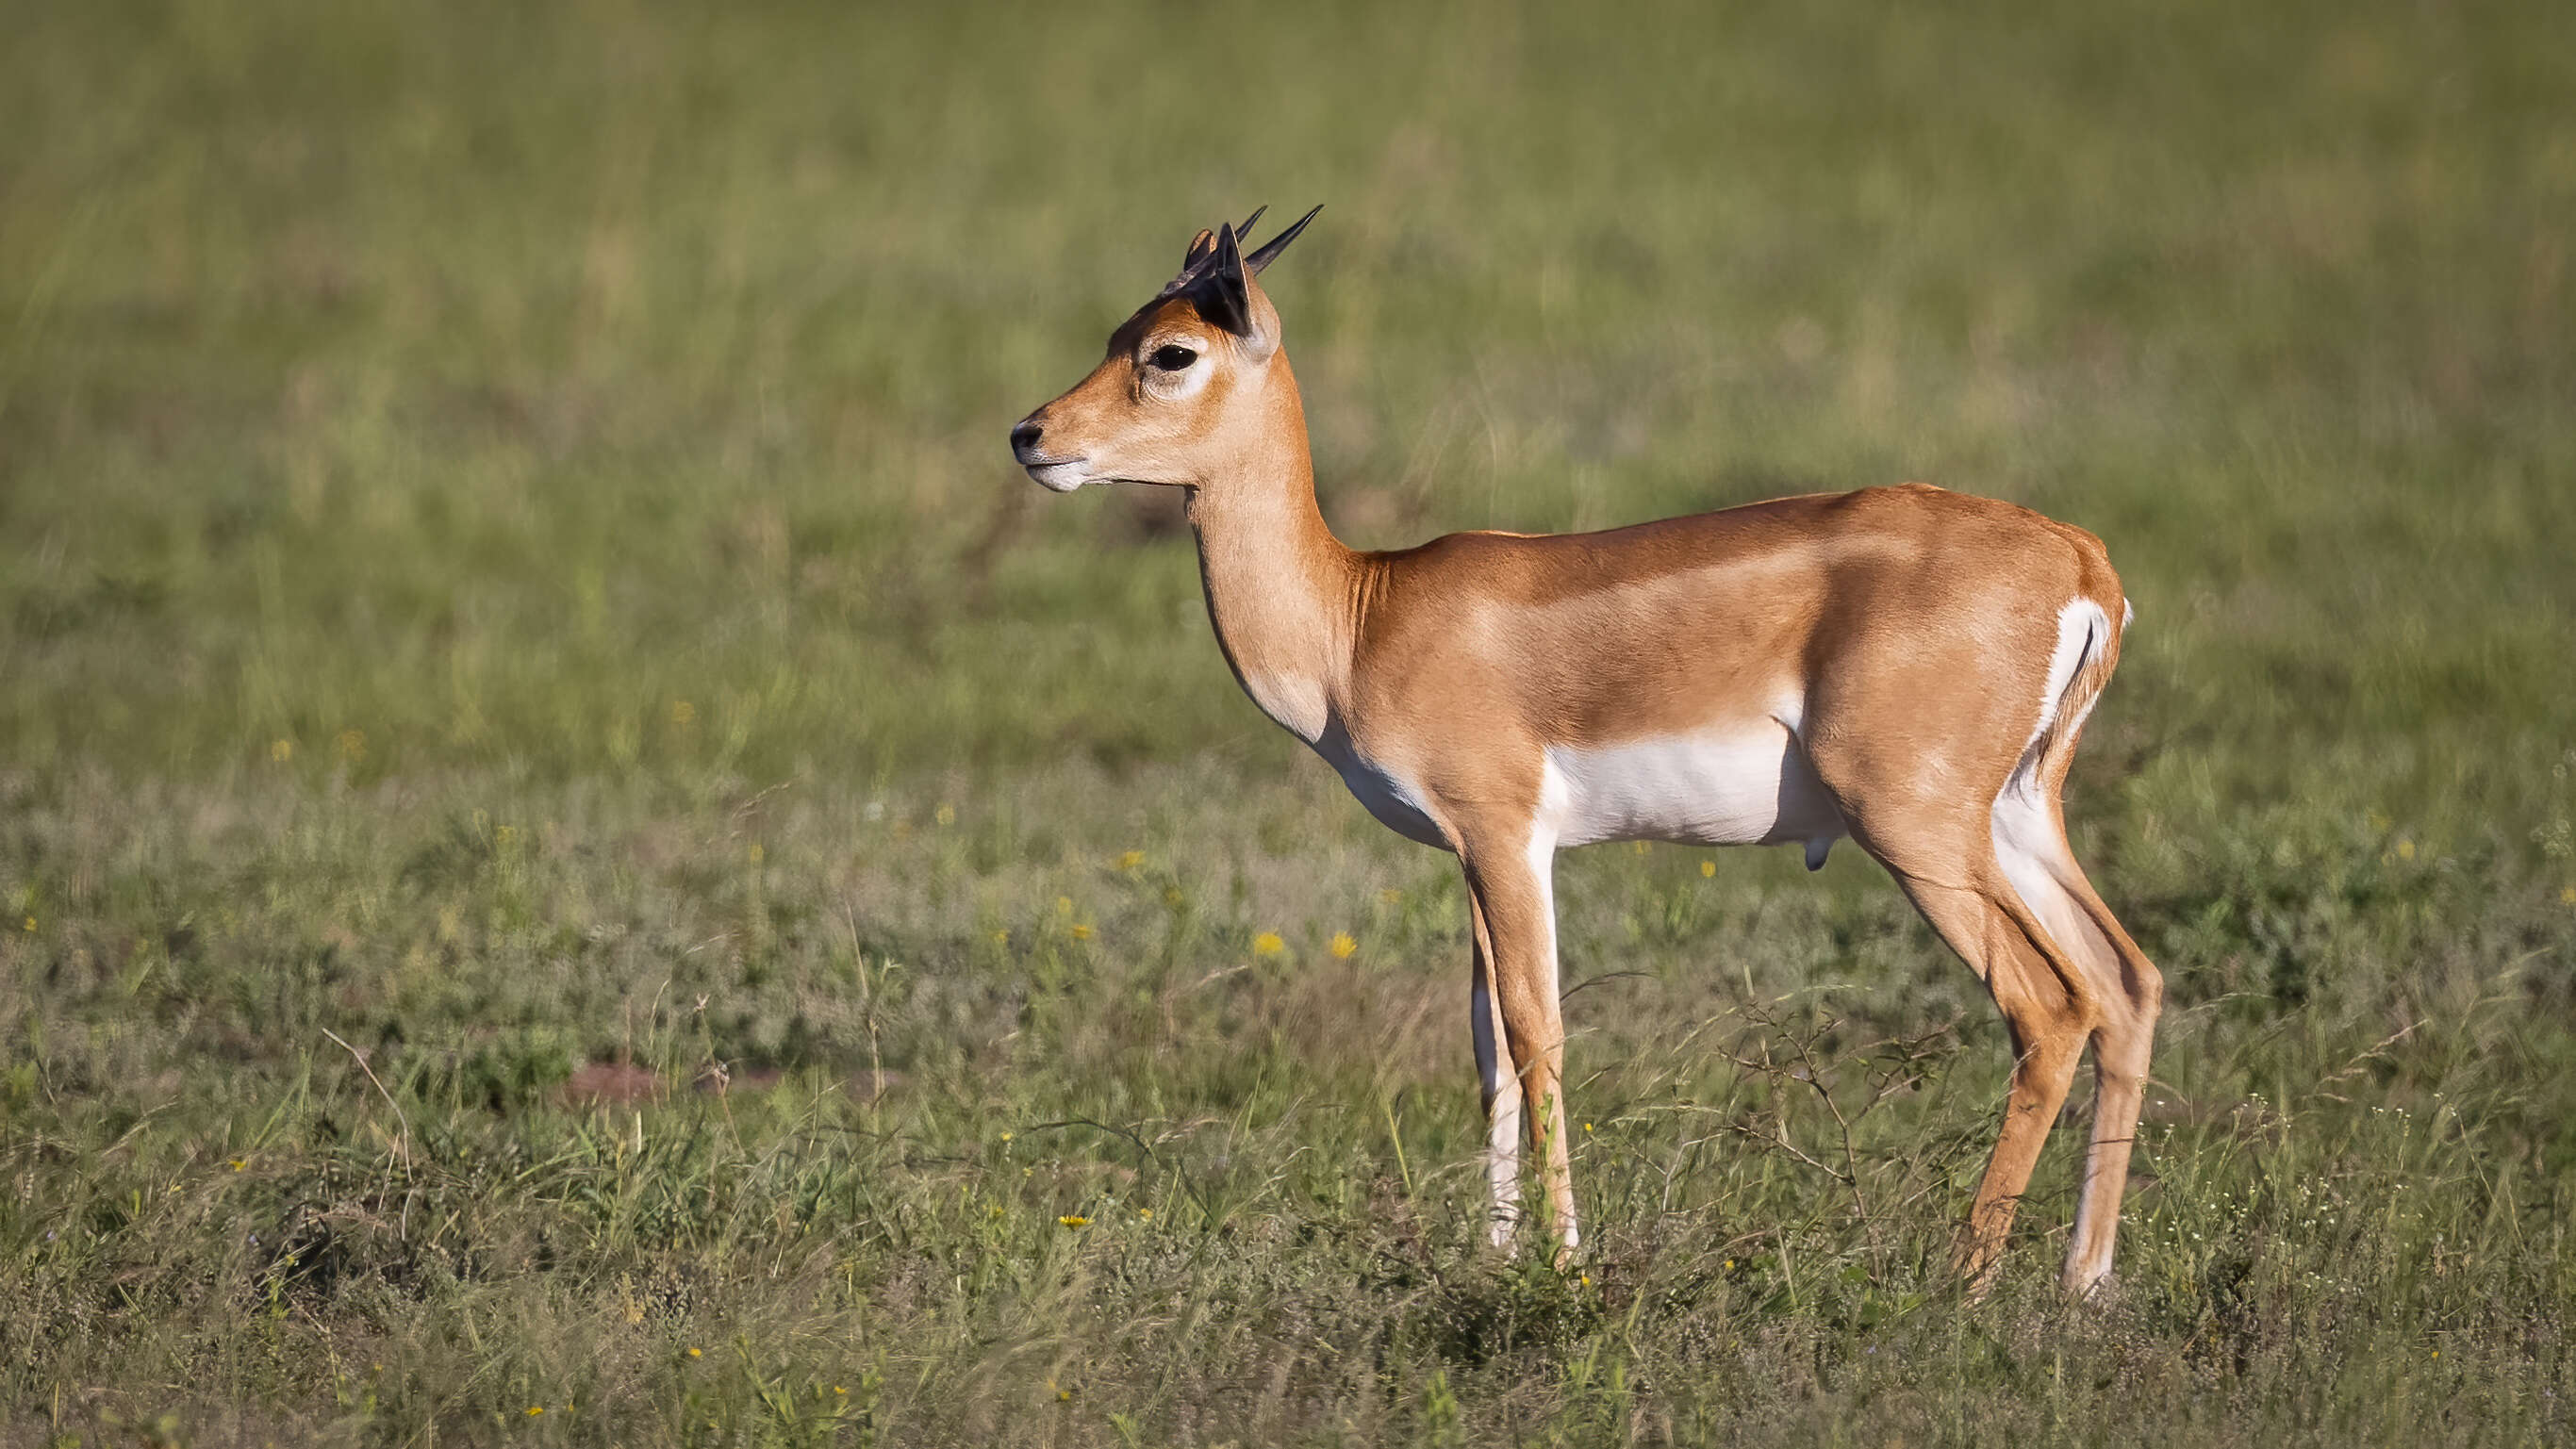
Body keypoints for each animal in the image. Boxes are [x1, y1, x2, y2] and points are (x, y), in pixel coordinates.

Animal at [1004, 205, 2153, 1292]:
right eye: (1118, 334)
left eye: (1171, 353)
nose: (1029, 433)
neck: (1358, 615)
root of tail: (2080, 560)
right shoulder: (1472, 857)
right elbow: (1487, 1048)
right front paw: (1498, 1255)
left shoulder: (1505, 834)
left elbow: (1536, 1033)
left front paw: (1562, 1262)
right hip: (2012, 820)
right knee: (2126, 982)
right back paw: (2082, 1281)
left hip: (1914, 828)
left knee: (2051, 1004)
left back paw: (1964, 1281)